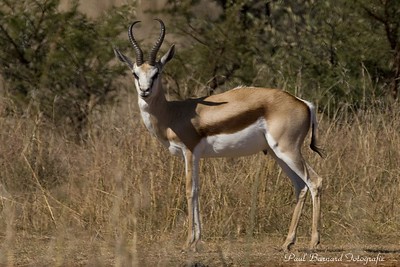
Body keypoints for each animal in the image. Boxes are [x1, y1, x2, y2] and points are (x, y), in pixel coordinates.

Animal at [114, 18, 324, 253]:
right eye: (135, 73)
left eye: (156, 73)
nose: (145, 91)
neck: (172, 113)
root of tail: (304, 103)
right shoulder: (195, 156)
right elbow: (197, 190)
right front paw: (197, 240)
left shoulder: (189, 152)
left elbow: (189, 190)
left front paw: (188, 241)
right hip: (277, 153)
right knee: (300, 186)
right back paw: (287, 242)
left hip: (288, 150)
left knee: (315, 181)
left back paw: (313, 242)